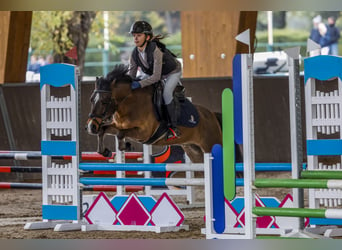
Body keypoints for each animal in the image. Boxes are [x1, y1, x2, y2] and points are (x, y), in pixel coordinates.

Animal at [86, 63, 222, 163]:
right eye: (91, 100)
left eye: (104, 101)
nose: (91, 126)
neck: (129, 104)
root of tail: (212, 115)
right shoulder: (118, 126)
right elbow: (104, 130)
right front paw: (105, 152)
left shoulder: (144, 133)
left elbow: (120, 134)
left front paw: (127, 146)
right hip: (194, 150)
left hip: (211, 144)